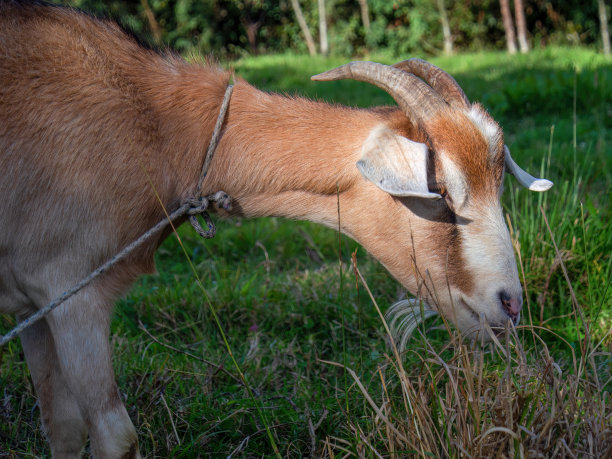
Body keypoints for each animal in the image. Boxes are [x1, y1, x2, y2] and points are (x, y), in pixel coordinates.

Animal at [0, 1, 552, 458]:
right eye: (440, 195)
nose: (510, 304)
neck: (157, 127)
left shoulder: (33, 307)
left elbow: (63, 428)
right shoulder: (72, 291)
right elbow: (117, 438)